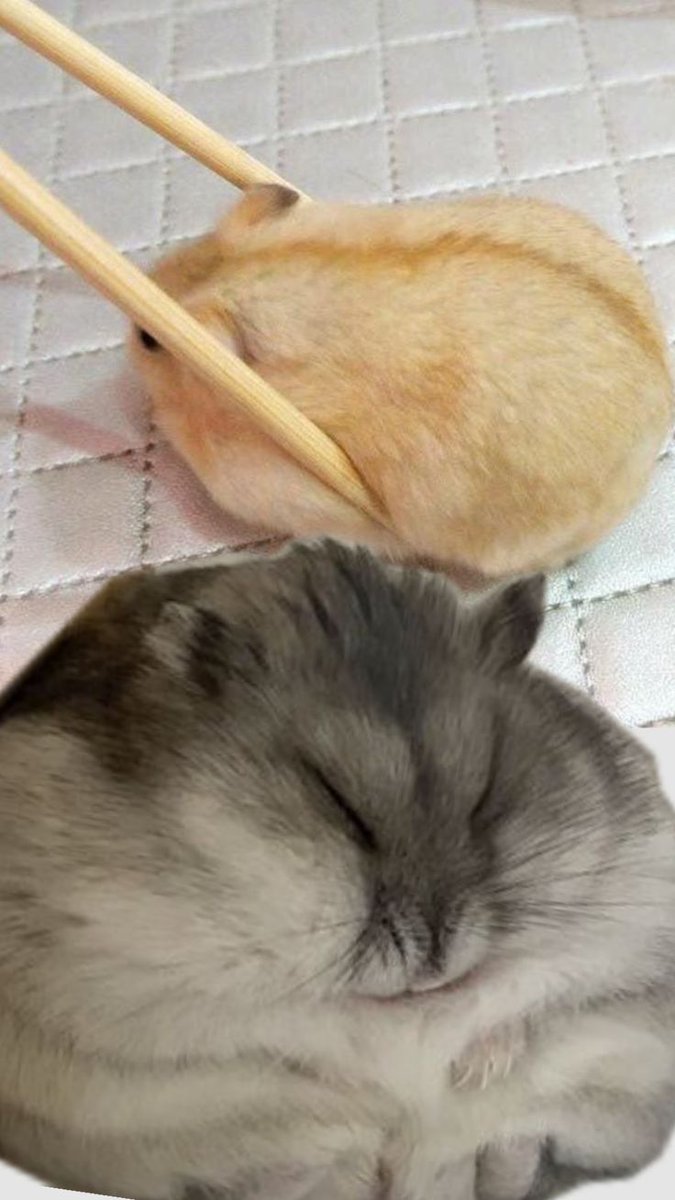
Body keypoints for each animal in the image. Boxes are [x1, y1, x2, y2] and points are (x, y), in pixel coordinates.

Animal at [1, 540, 675, 1200]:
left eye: (486, 793)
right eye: (338, 803)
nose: (434, 964)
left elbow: (533, 993)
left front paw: (473, 1071)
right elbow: (277, 1030)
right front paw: (365, 1109)